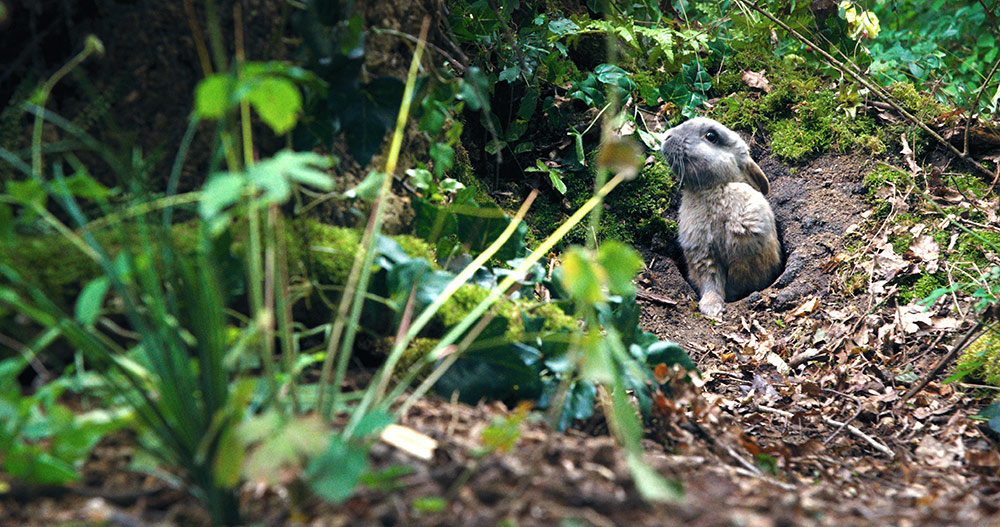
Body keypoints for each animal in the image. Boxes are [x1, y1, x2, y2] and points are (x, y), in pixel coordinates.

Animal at [660, 118, 784, 318]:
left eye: (711, 136)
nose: (666, 136)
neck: (714, 188)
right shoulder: (703, 256)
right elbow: (711, 283)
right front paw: (711, 307)